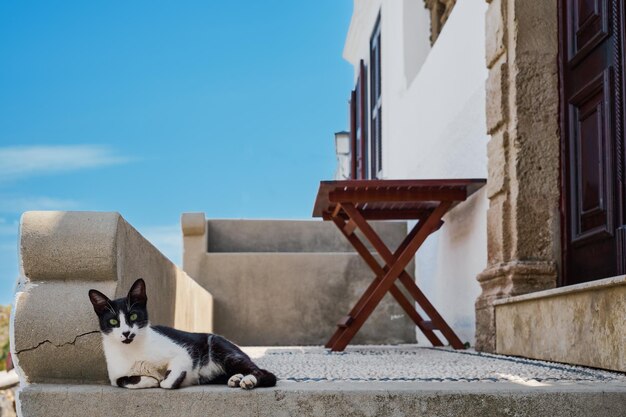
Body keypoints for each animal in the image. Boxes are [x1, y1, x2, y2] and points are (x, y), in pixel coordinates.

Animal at [88, 278, 276, 388]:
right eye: (113, 321)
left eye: (133, 315)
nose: (126, 333)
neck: (133, 350)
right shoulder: (115, 375)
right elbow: (123, 381)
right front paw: (151, 379)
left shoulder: (183, 352)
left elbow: (168, 379)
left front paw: (164, 380)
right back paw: (235, 378)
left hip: (222, 348)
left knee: (265, 373)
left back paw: (248, 379)